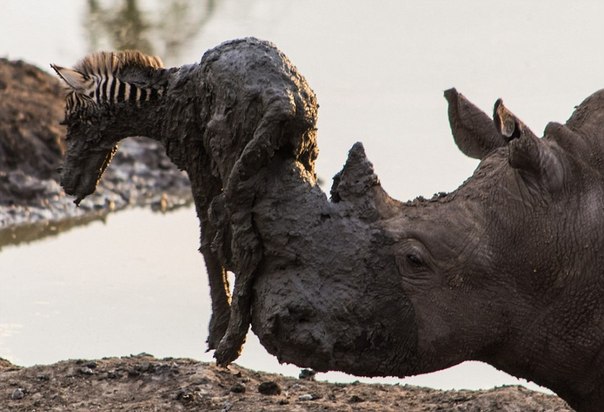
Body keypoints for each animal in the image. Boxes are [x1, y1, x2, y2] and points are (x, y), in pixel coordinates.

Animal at [52, 38, 318, 366]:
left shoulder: (197, 163)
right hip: (299, 159)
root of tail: (284, 102)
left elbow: (207, 242)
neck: (163, 101)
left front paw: (215, 332)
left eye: (72, 121)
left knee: (248, 248)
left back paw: (228, 348)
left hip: (232, 161)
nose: (65, 183)